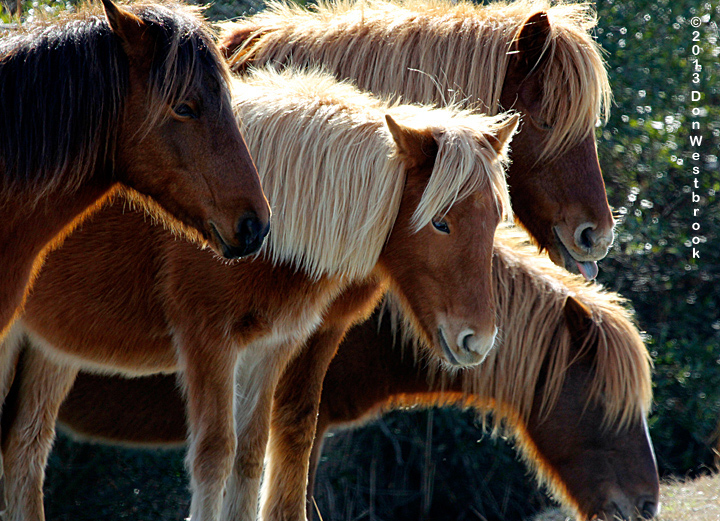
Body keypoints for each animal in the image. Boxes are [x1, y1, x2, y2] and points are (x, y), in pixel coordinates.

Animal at [0, 68, 518, 521]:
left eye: (496, 218)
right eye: (441, 222)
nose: (478, 340)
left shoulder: (270, 348)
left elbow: (250, 456)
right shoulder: (209, 344)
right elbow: (214, 455)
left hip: (52, 348)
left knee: (26, 449)